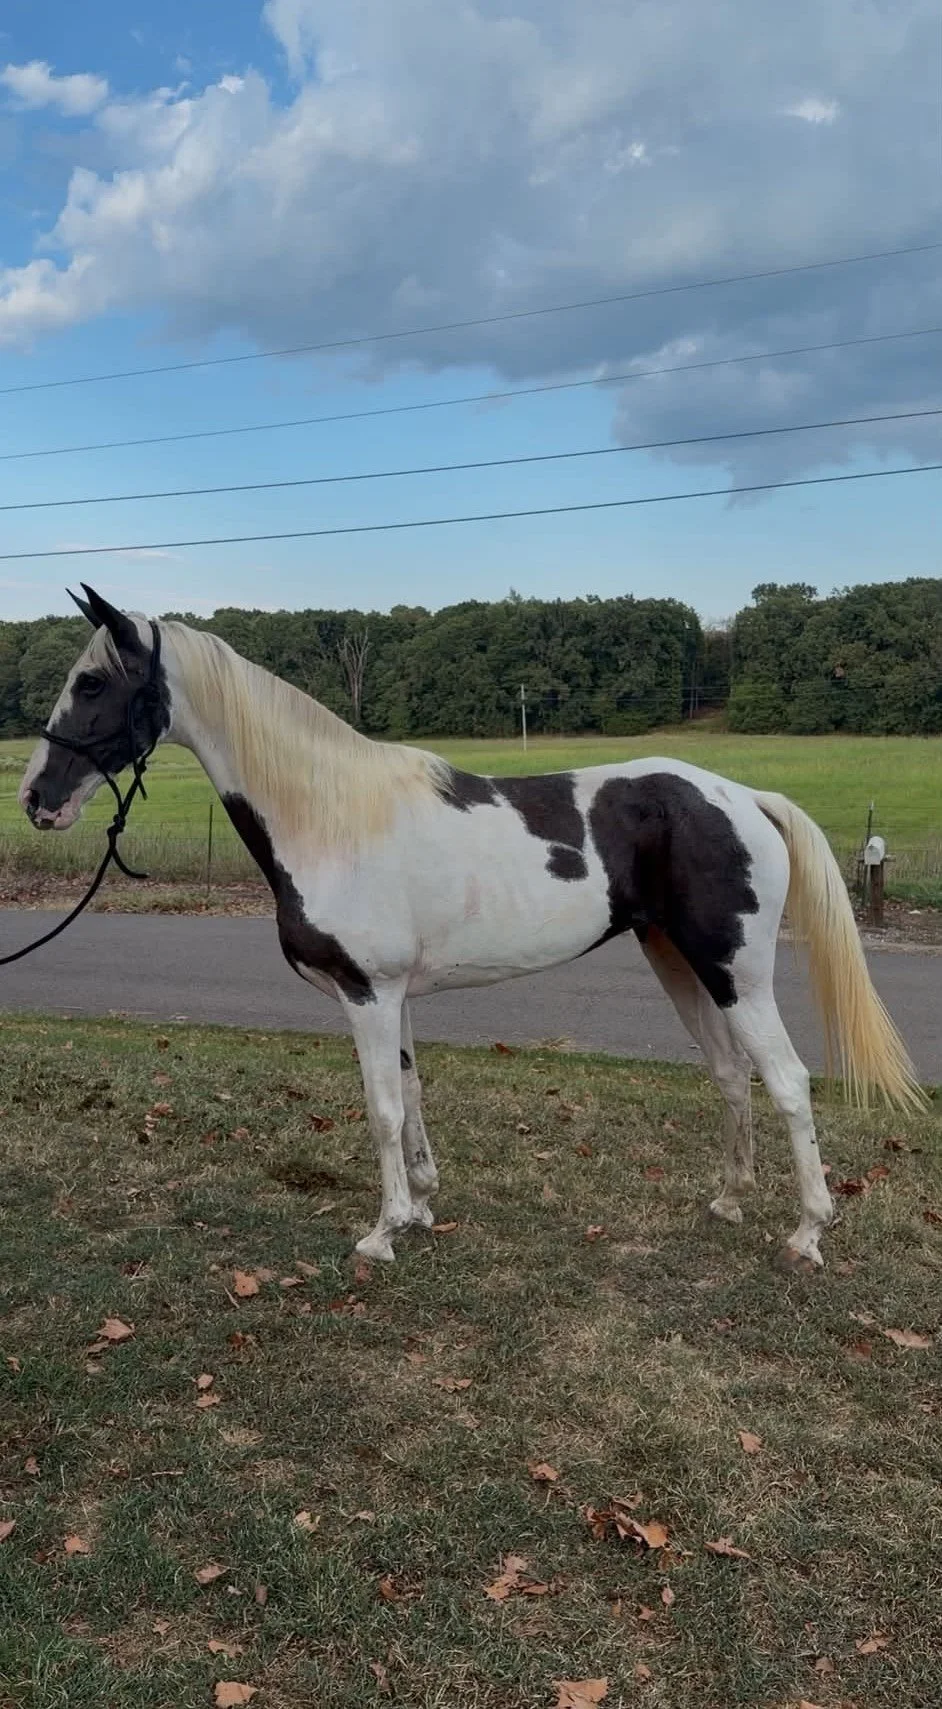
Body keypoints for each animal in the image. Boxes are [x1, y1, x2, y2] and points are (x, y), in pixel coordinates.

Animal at [18, 585, 924, 1269]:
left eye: (92, 683)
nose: (36, 798)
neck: (332, 817)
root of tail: (745, 798)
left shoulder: (368, 994)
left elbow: (382, 1107)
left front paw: (381, 1233)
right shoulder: (394, 997)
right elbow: (413, 1092)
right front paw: (420, 1206)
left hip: (737, 972)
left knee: (788, 1081)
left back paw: (807, 1231)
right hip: (677, 962)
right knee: (733, 1077)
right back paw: (727, 1201)